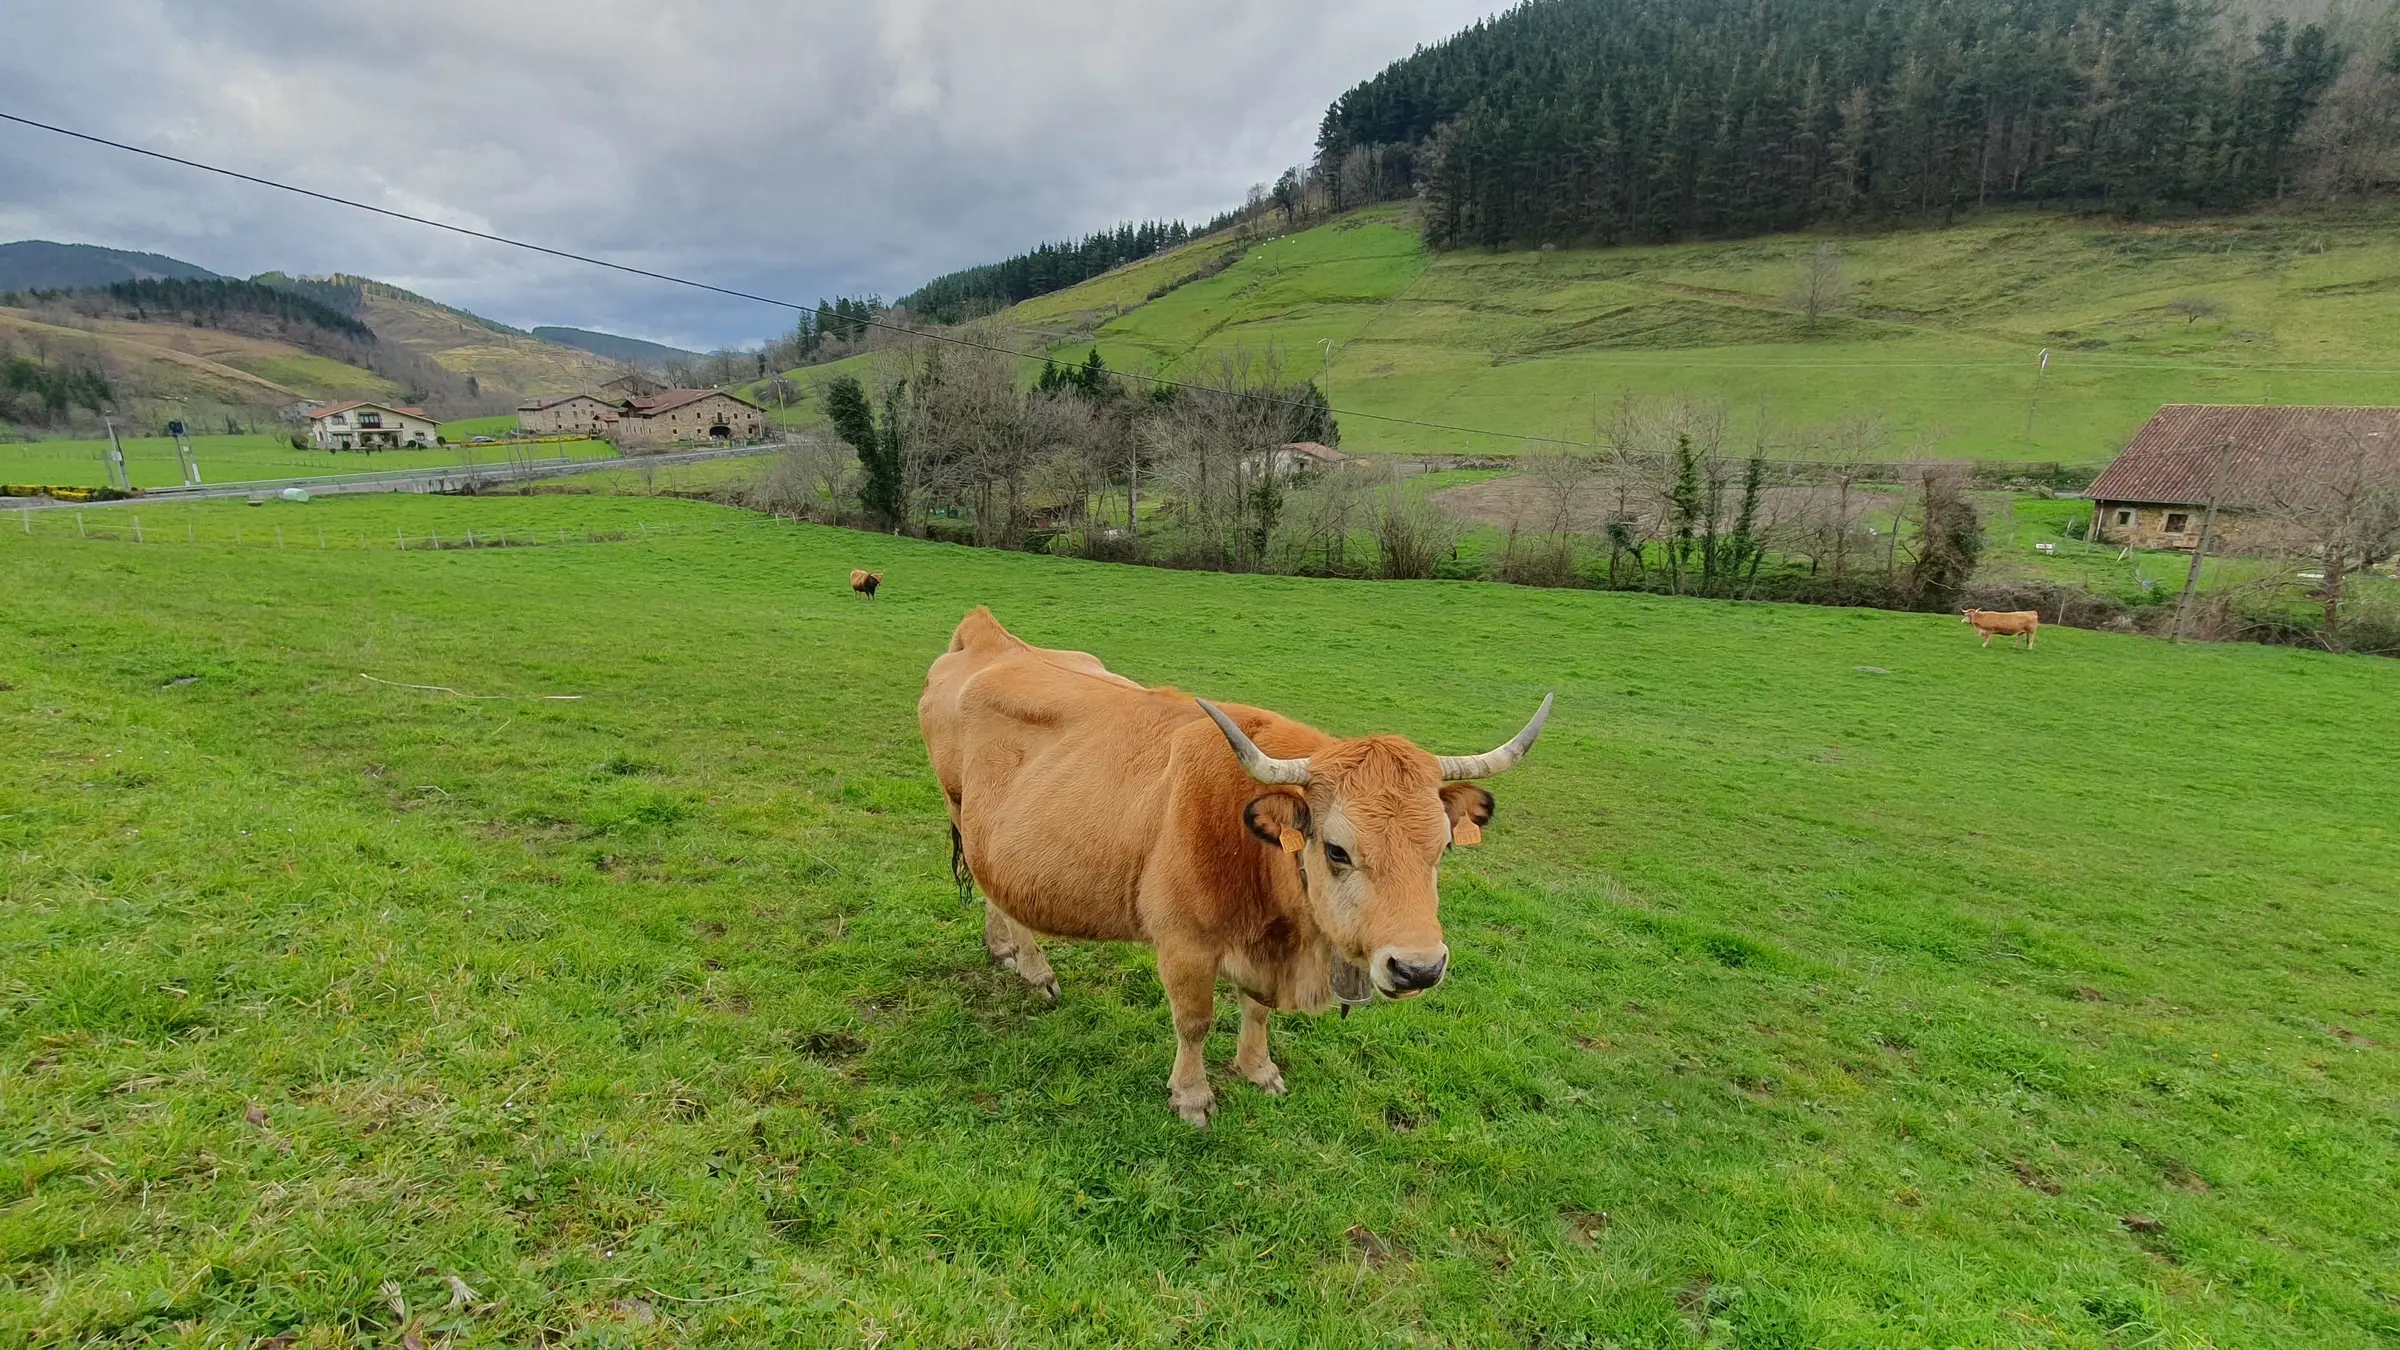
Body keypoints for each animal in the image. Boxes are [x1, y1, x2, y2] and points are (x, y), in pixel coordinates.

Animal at [919, 607, 1551, 1125]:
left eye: (1442, 849)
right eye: (1337, 850)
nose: (1418, 969)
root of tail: (990, 638)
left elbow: (1258, 1009)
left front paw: (1258, 1069)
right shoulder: (1184, 945)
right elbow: (1194, 1020)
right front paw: (1192, 1096)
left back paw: (1003, 950)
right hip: (958, 808)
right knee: (992, 887)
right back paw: (1031, 965)